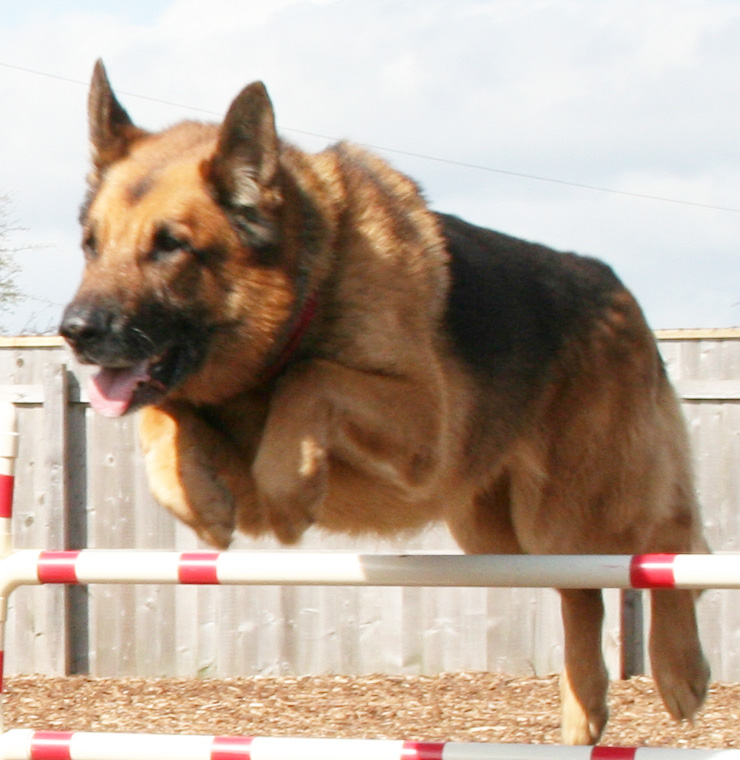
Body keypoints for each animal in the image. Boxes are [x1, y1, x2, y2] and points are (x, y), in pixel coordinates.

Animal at [60, 60, 708, 748]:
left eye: (170, 245)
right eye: (91, 245)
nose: (73, 331)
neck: (307, 294)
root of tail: (620, 291)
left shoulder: (422, 425)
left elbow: (311, 379)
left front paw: (291, 489)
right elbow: (165, 417)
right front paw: (200, 501)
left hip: (582, 502)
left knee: (671, 539)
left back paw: (681, 672)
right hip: (503, 530)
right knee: (581, 589)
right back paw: (583, 707)